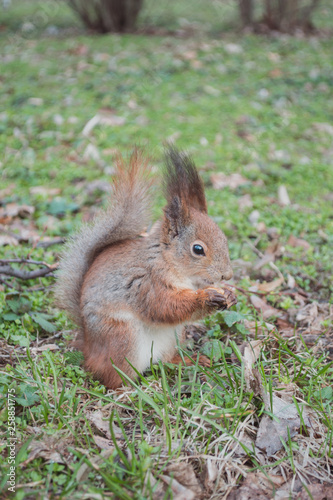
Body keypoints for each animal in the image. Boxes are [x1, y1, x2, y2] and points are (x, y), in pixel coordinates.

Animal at [54, 146, 235, 388]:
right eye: (198, 249)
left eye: (224, 238)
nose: (227, 275)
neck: (169, 262)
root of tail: (88, 348)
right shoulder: (147, 282)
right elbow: (164, 306)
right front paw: (205, 297)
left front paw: (230, 295)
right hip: (122, 338)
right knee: (111, 376)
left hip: (173, 336)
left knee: (165, 359)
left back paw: (186, 361)